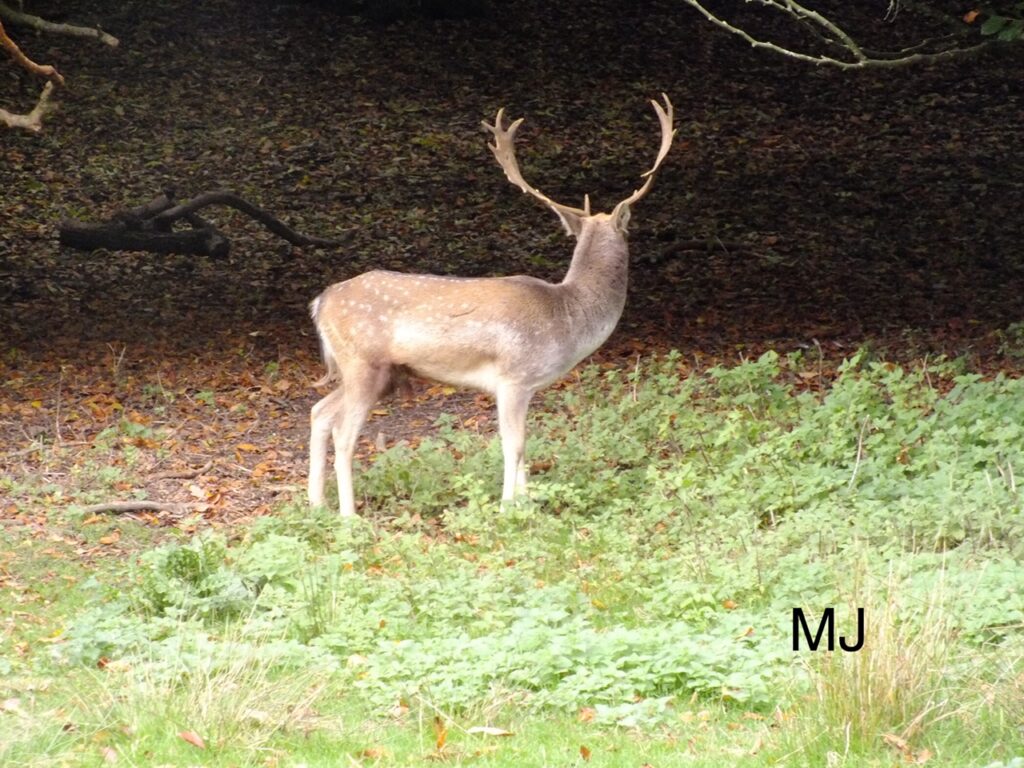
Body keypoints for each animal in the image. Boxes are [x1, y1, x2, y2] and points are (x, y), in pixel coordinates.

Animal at [308, 94, 675, 517]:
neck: (567, 318)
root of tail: (320, 302)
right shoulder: (512, 378)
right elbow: (512, 445)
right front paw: (506, 507)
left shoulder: (529, 386)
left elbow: (526, 444)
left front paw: (527, 502)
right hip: (362, 362)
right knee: (343, 431)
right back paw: (349, 516)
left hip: (373, 372)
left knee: (319, 413)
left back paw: (316, 505)